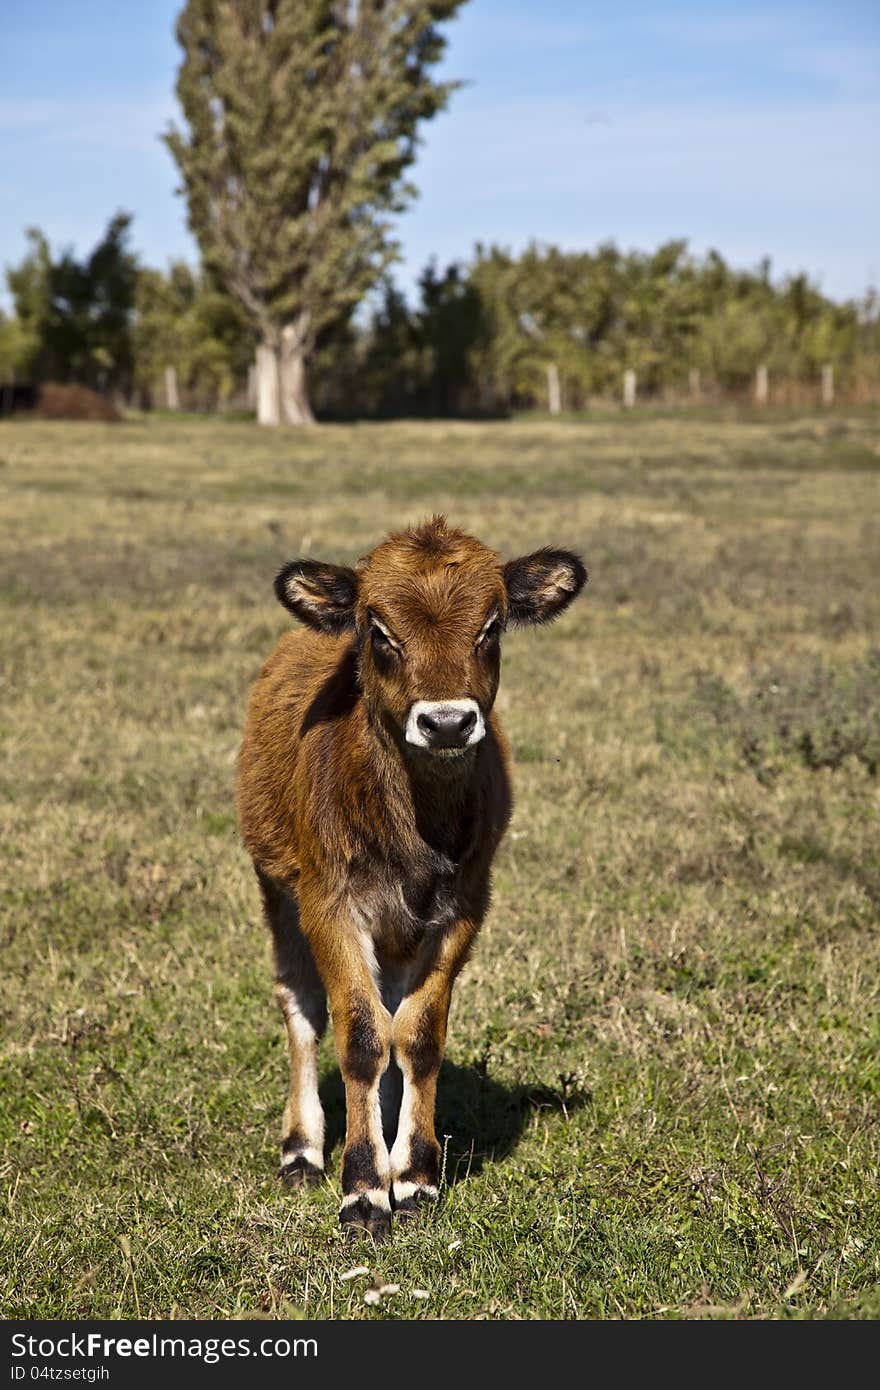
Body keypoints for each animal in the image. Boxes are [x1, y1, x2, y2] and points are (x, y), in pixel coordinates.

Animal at [236, 511, 586, 1239]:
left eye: (492, 626)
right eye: (378, 630)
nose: (447, 720)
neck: (413, 827)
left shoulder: (462, 908)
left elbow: (416, 1034)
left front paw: (416, 1177)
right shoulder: (329, 903)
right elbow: (360, 1035)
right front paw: (363, 1191)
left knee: (393, 1009)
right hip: (275, 884)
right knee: (301, 1004)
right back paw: (301, 1149)